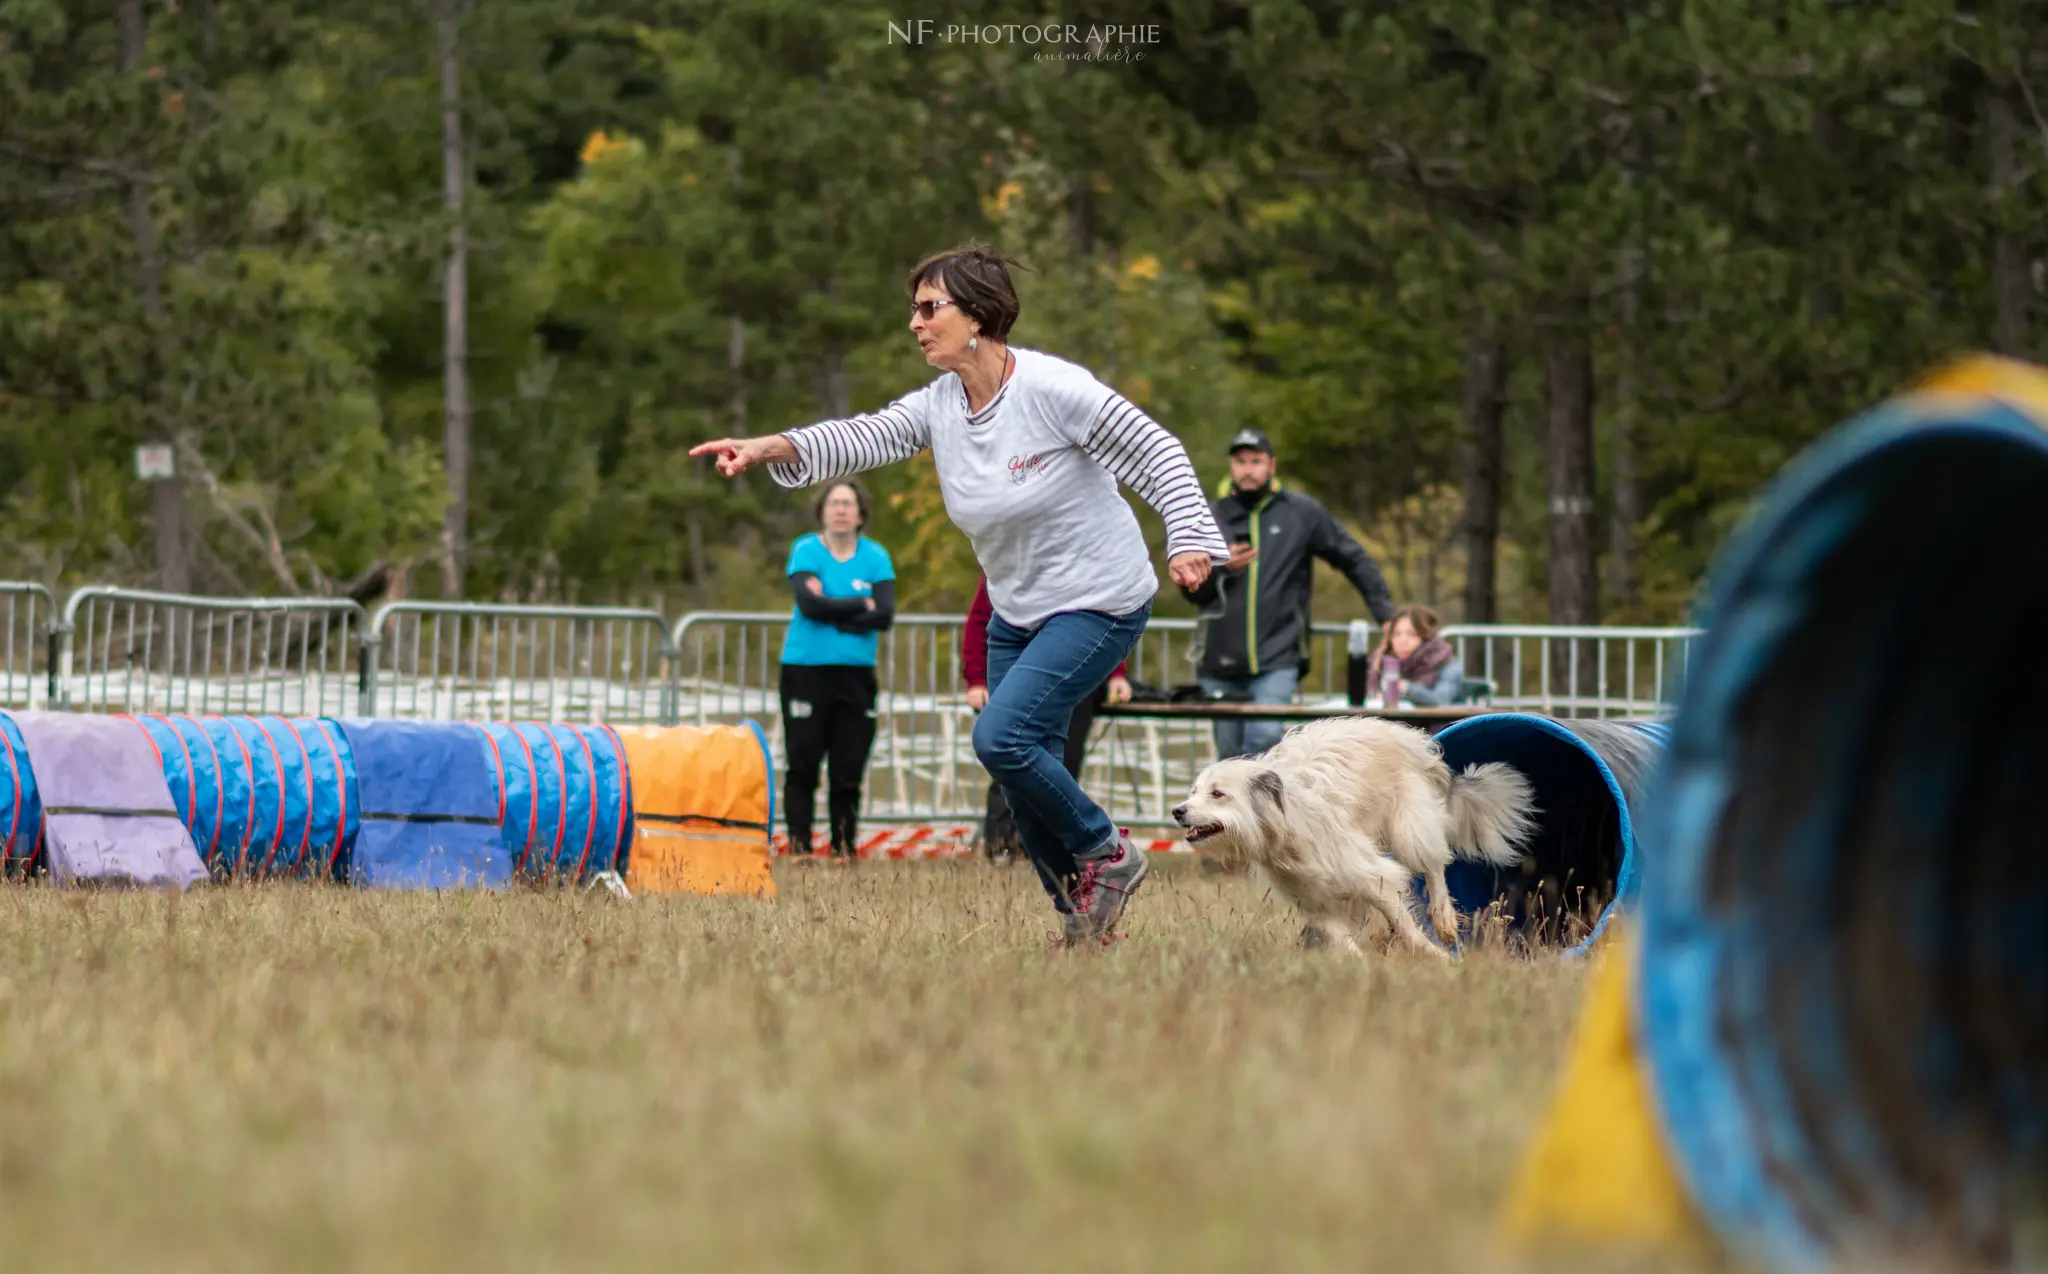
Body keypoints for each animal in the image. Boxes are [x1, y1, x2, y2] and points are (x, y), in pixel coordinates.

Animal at [1171, 720, 1540, 958]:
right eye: (1194, 791)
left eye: (1218, 794)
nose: (1177, 811)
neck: (1286, 822)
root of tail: (1421, 747)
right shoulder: (1314, 902)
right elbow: (1344, 942)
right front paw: (1359, 969)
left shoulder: (1374, 876)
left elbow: (1404, 924)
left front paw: (1436, 956)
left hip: (1408, 828)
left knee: (1435, 866)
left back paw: (1443, 917)